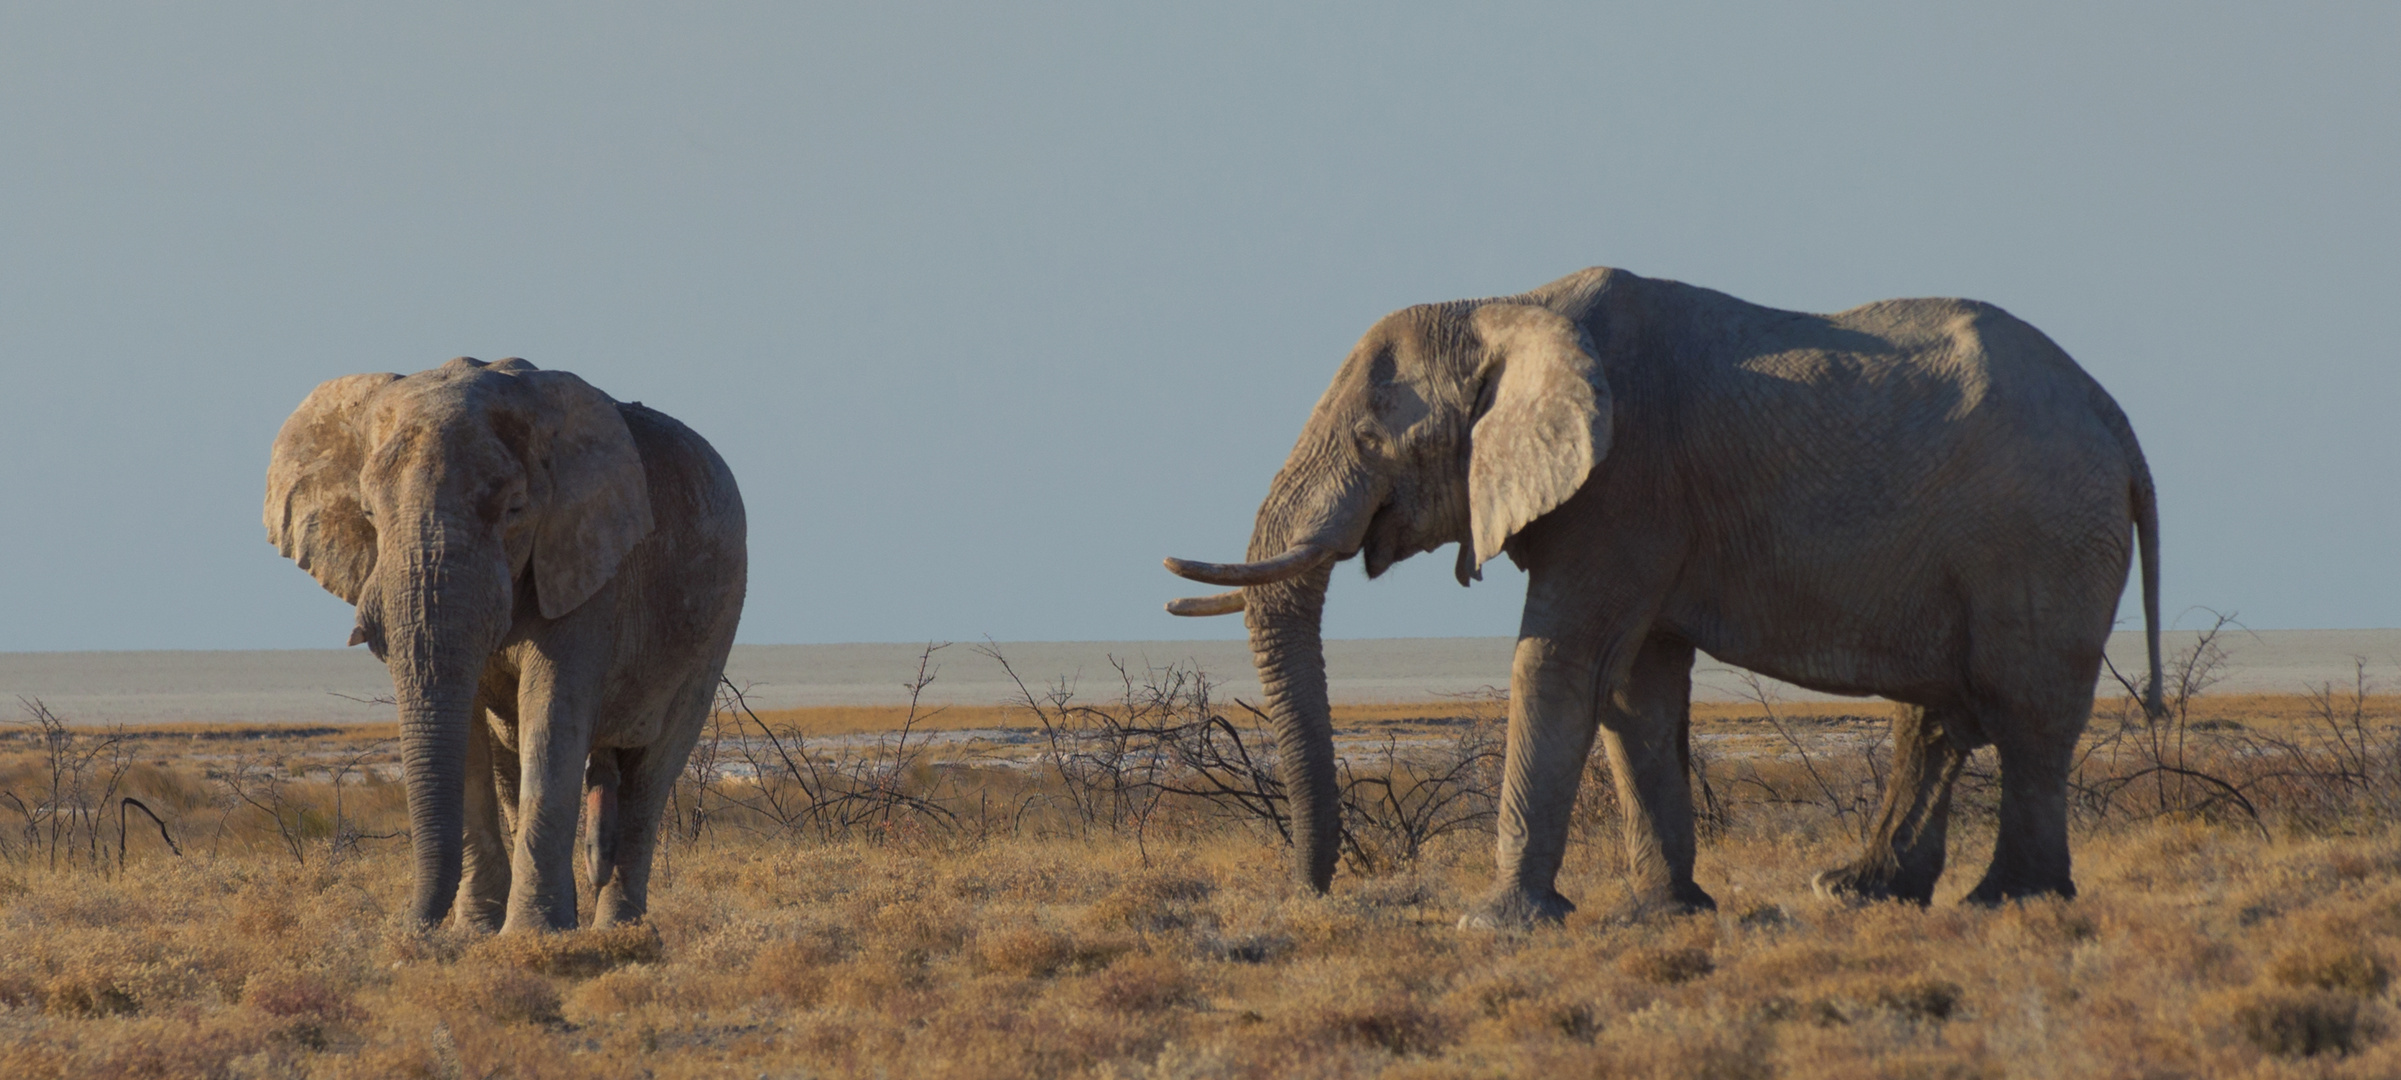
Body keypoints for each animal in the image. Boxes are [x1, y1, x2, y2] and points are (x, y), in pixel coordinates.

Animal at [262, 357, 739, 931]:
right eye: (369, 515)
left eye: (514, 509)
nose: (408, 930)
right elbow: (469, 736)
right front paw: (476, 934)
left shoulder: (587, 564)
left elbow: (551, 716)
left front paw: (528, 936)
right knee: (512, 760)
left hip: (717, 623)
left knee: (654, 769)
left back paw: (615, 931)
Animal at [1162, 270, 2160, 926]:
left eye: (1371, 440)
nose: (1312, 895)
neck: (1505, 305)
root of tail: (2114, 415)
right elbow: (1636, 688)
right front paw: (1666, 913)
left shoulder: (1624, 484)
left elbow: (1558, 663)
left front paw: (1500, 923)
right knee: (1938, 716)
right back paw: (1858, 891)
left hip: (2040, 536)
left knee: (2024, 708)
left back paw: (2009, 900)